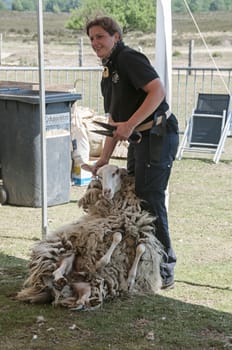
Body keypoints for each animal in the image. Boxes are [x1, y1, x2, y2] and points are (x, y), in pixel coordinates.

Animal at [16, 164, 163, 308]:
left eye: (115, 172)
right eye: (99, 176)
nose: (107, 191)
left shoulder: (141, 233)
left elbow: (141, 248)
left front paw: (131, 279)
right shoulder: (111, 228)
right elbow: (117, 237)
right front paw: (101, 262)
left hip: (88, 286)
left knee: (81, 298)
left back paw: (82, 296)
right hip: (69, 254)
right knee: (57, 272)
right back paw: (61, 280)